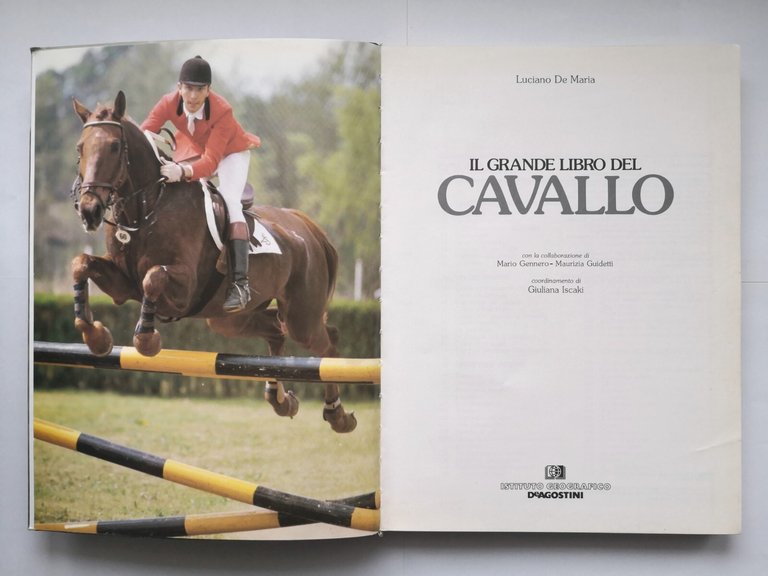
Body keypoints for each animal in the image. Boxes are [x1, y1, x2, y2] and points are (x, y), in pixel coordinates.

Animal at [68, 90, 356, 433]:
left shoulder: (184, 289)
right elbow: (80, 263)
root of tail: (307, 227)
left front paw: (146, 340)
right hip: (229, 319)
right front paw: (95, 336)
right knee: (276, 331)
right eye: (80, 148)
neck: (147, 208)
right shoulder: (123, 286)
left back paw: (337, 415)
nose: (89, 211)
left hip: (302, 316)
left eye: (114, 146)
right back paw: (281, 401)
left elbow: (154, 277)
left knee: (328, 343)